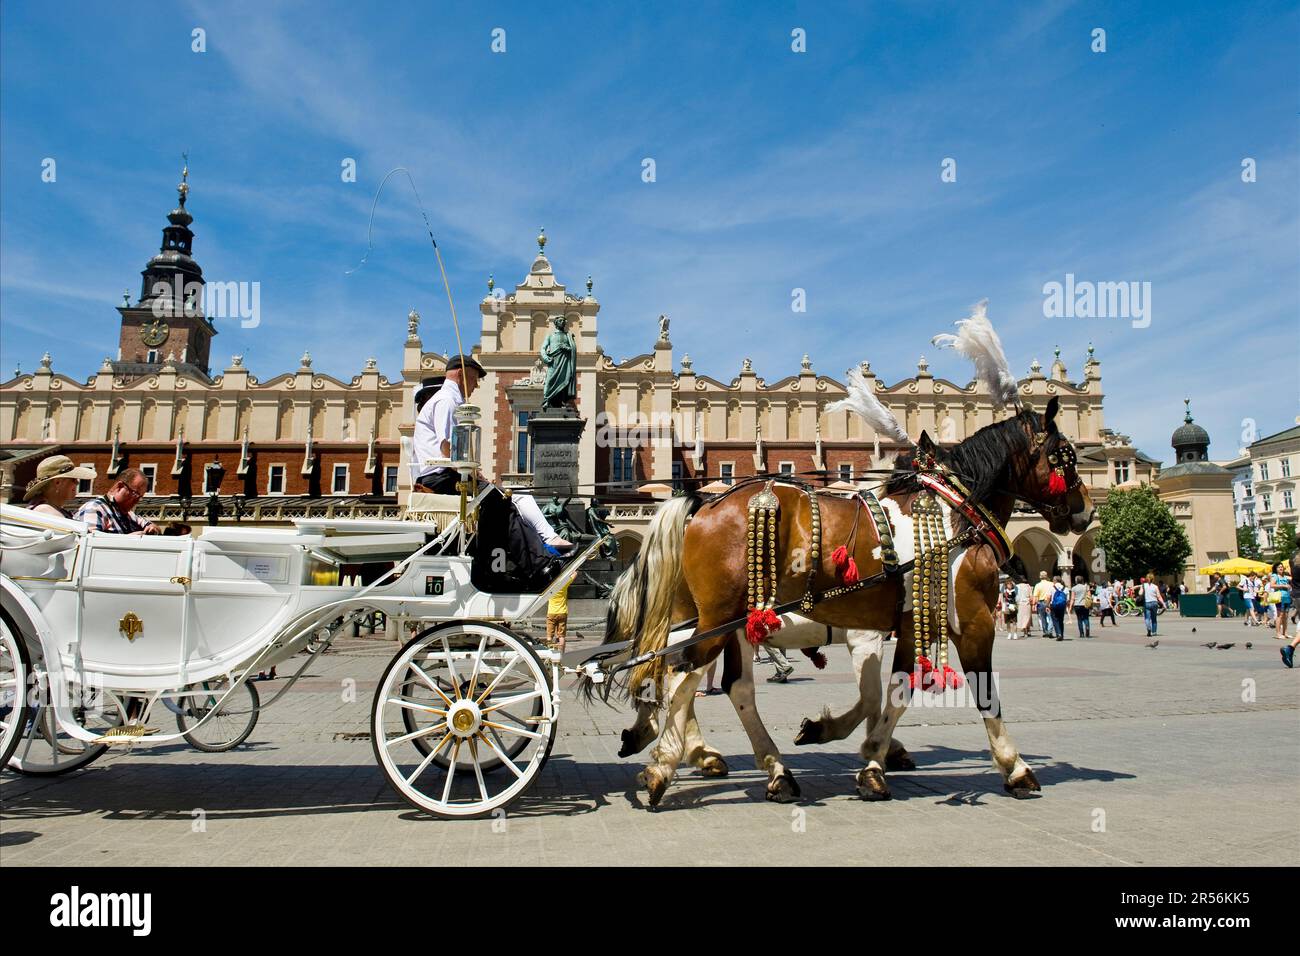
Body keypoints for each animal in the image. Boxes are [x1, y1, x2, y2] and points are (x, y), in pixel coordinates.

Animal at [590, 395, 1097, 806]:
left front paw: (870, 758)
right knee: (680, 678)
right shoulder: (969, 620)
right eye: (1066, 457)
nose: (1086, 511)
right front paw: (1015, 767)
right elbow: (981, 692)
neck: (955, 514)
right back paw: (665, 766)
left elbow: (892, 693)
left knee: (711, 684)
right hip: (716, 618)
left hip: (718, 621)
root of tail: (701, 504)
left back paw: (761, 768)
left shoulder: (902, 623)